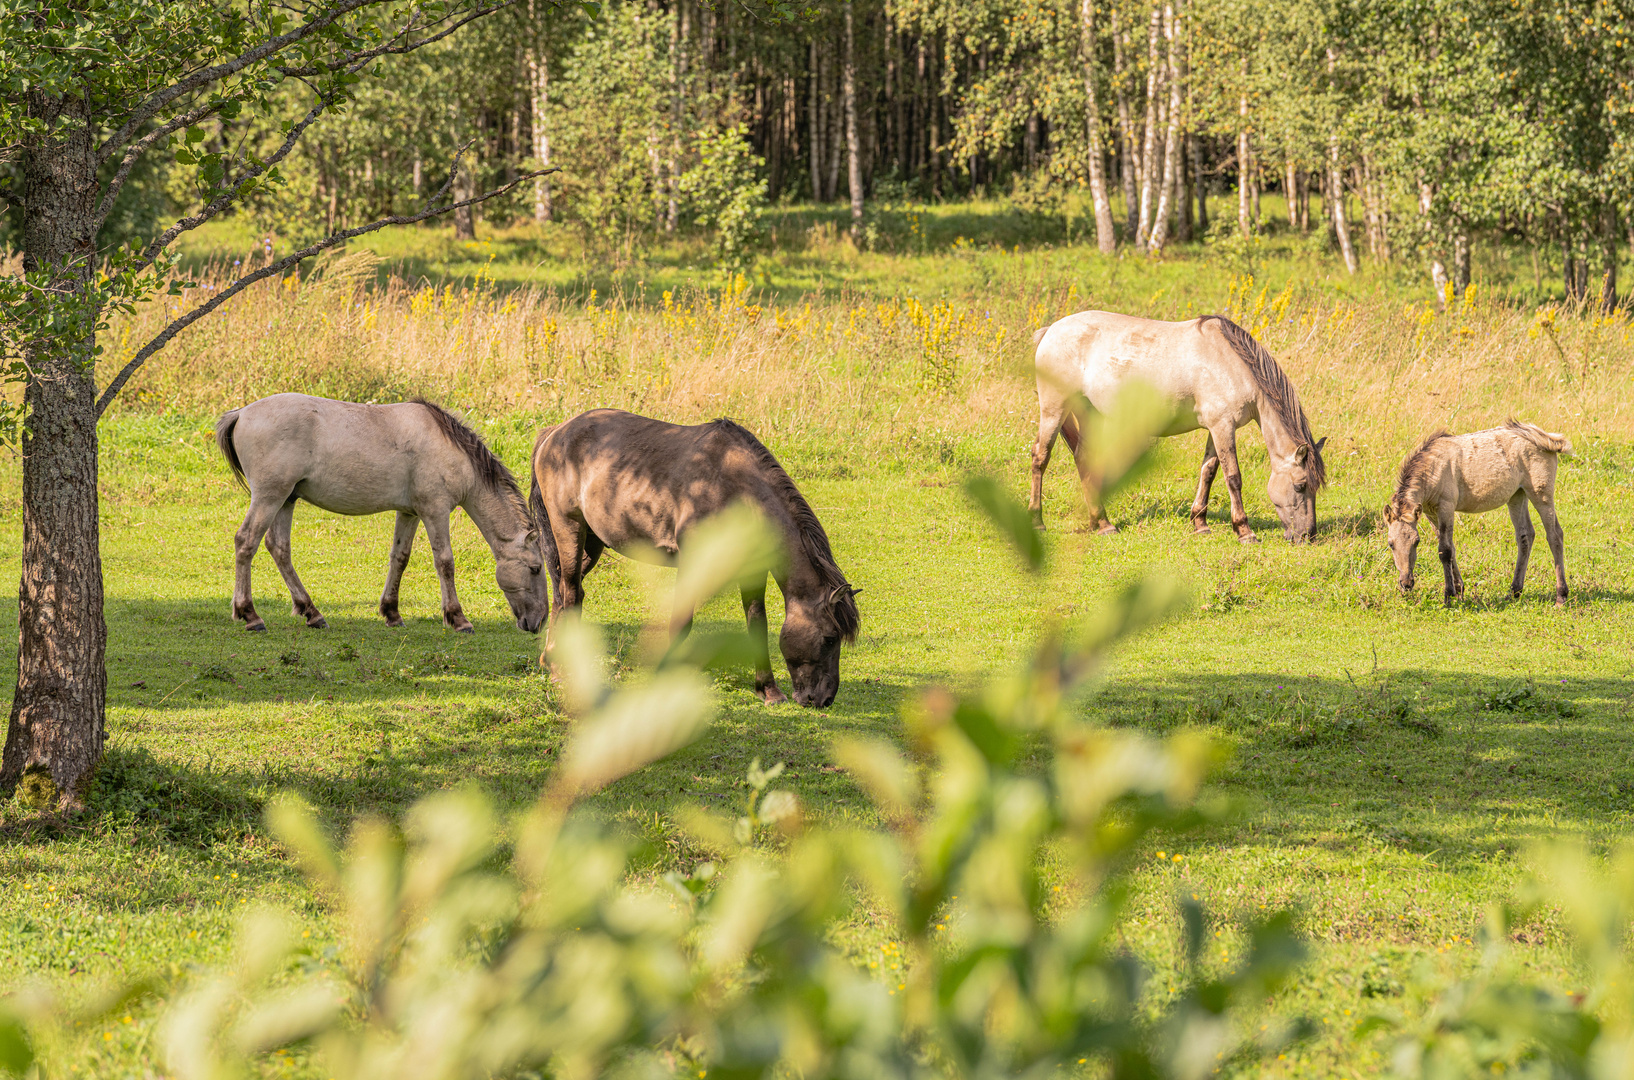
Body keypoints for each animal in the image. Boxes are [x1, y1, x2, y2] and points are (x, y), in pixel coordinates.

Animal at [210, 393, 549, 630]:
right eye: (535, 568)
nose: (538, 622)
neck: (449, 448)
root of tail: (241, 413)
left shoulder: (410, 513)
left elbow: (400, 558)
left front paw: (392, 612)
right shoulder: (435, 511)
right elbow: (445, 562)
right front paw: (458, 618)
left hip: (286, 499)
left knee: (279, 548)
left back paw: (312, 612)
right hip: (270, 497)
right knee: (246, 542)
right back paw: (250, 614)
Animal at [529, 406, 862, 709]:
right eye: (830, 638)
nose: (824, 699)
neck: (737, 488)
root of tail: (556, 432)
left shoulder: (752, 570)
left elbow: (758, 624)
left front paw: (768, 690)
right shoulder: (691, 563)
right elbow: (681, 623)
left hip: (592, 543)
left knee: (564, 593)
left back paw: (551, 659)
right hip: (569, 530)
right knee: (570, 594)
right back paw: (559, 669)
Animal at [1032, 313, 1326, 548]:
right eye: (1300, 486)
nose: (1307, 537)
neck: (1232, 364)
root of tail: (1050, 330)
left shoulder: (1215, 428)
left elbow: (1208, 472)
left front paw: (1200, 523)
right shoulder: (1223, 426)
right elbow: (1233, 477)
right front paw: (1244, 531)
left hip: (1088, 413)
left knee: (1083, 457)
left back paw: (1102, 523)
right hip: (1054, 408)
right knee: (1040, 456)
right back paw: (1037, 521)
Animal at [1379, 421, 1568, 607]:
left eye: (1416, 542)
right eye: (1390, 544)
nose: (1406, 583)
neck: (1433, 468)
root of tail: (1545, 437)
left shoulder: (1446, 508)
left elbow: (1445, 550)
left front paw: (1449, 596)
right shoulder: (1430, 513)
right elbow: (1451, 548)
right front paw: (1459, 590)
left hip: (1541, 495)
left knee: (1554, 535)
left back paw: (1561, 597)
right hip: (1517, 496)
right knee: (1525, 536)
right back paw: (1514, 592)